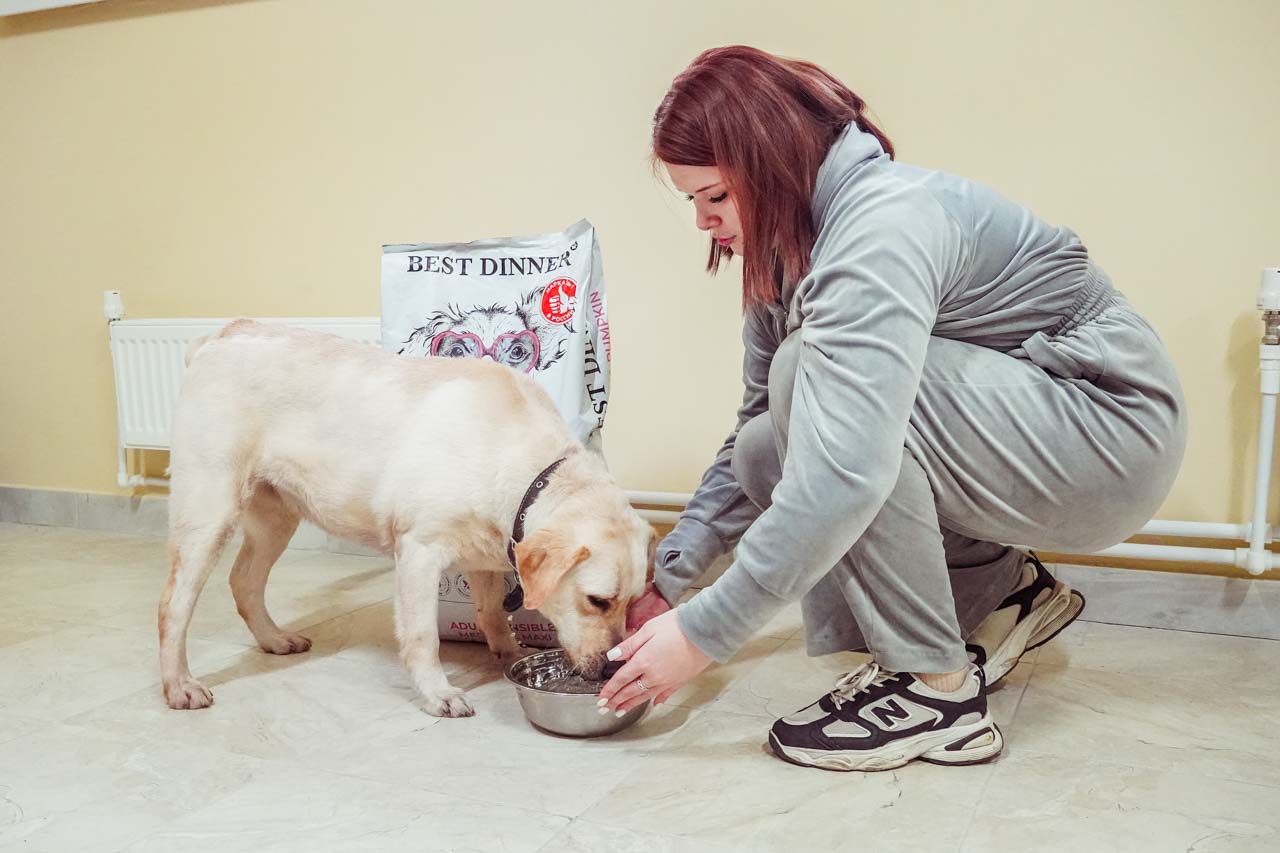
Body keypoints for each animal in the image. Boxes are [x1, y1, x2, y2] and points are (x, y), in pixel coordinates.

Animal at [158, 319, 654, 717]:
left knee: (243, 581)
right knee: (173, 606)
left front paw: (508, 651)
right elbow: (421, 636)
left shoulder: (483, 556)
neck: (520, 464)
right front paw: (438, 694)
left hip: (276, 519)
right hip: (209, 512)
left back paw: (275, 639)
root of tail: (217, 337)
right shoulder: (419, 551)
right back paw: (179, 684)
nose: (610, 667)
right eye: (598, 601)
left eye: (632, 603)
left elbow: (492, 613)